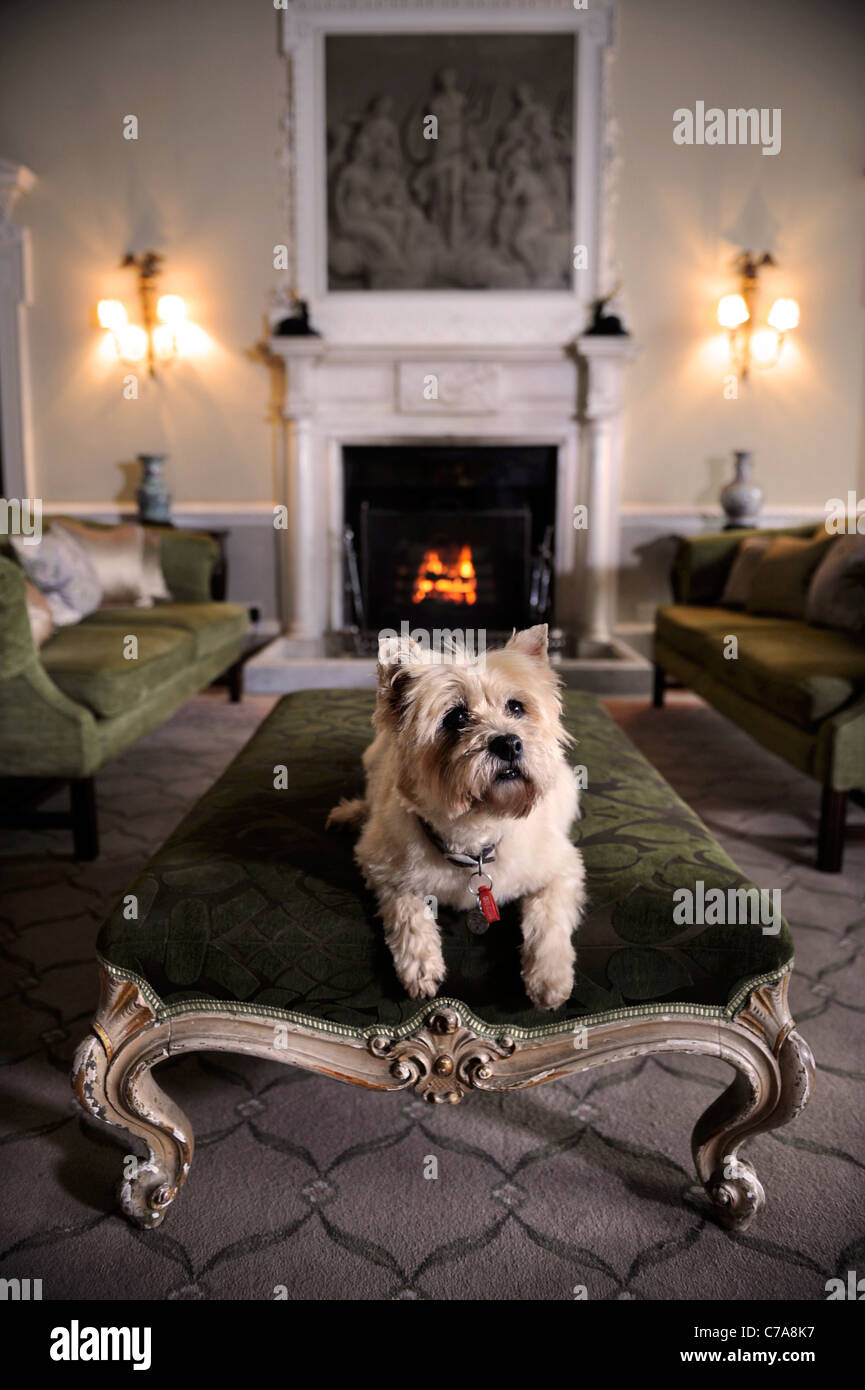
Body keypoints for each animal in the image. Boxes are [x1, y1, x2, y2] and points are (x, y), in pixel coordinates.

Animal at [328, 628, 586, 1011]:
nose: (508, 743)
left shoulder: (561, 869)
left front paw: (549, 977)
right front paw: (421, 965)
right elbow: (408, 910)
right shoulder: (381, 866)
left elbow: (548, 918)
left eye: (516, 707)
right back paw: (352, 813)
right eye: (456, 718)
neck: (475, 833)